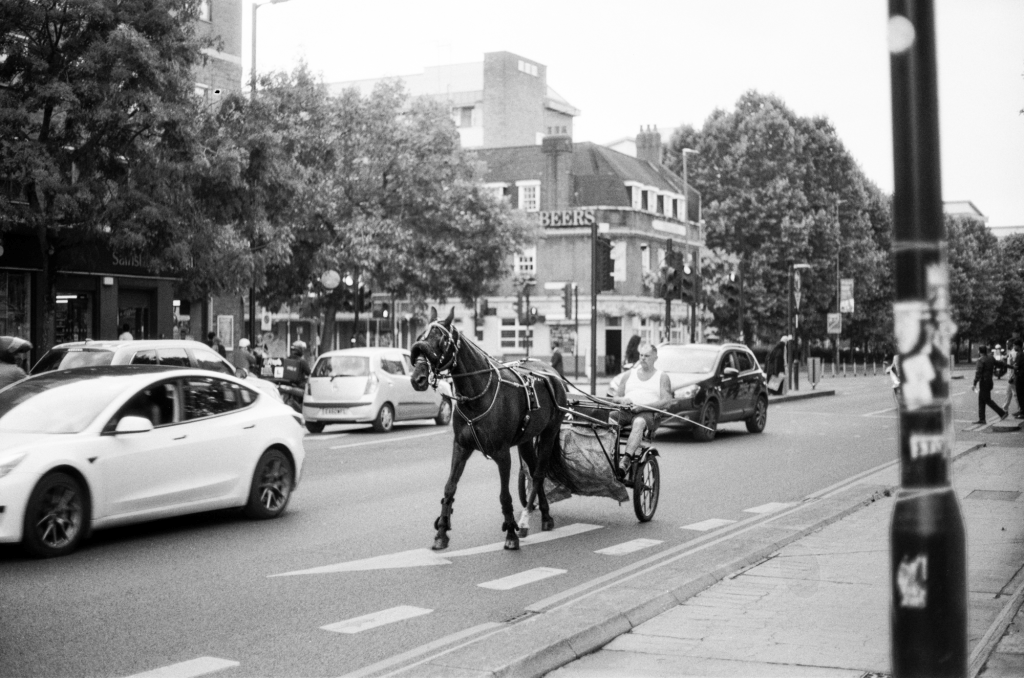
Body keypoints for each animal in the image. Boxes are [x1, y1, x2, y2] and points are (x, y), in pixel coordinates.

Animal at [410, 307, 568, 551]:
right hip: (526, 440)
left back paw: (526, 520)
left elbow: (504, 496)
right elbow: (449, 487)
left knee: (539, 474)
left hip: (550, 432)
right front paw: (441, 531)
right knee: (534, 471)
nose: (417, 378)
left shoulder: (502, 454)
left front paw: (511, 533)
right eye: (420, 337)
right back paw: (544, 514)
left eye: (441, 340)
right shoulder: (461, 447)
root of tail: (552, 372)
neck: (476, 396)